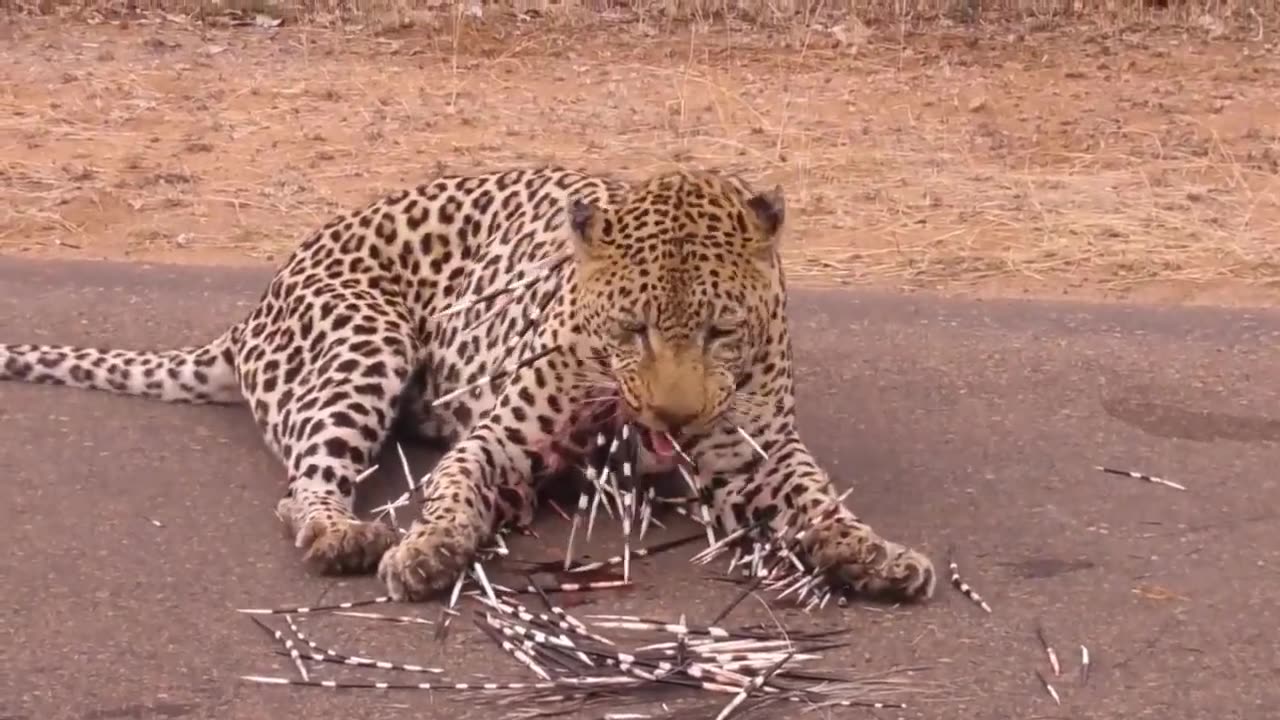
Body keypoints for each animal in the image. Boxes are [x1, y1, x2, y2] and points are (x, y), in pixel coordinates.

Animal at [2, 163, 942, 599]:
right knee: (303, 487)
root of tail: (252, 309)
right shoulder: (498, 440)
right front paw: (429, 551)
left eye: (719, 330)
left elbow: (820, 503)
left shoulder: (757, 456)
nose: (672, 418)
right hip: (364, 341)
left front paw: (872, 555)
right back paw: (343, 536)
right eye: (632, 330)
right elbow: (453, 496)